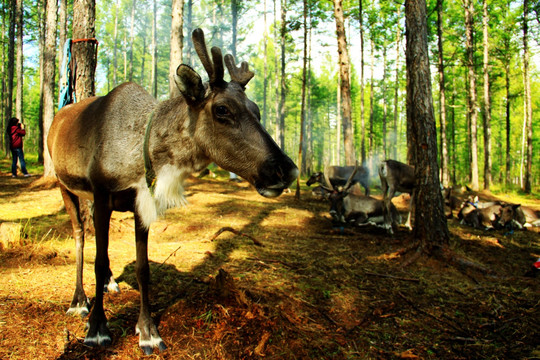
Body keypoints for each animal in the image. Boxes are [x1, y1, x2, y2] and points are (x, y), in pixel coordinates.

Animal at [46, 28, 298, 354]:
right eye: (222, 109)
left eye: (256, 109)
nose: (286, 169)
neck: (142, 153)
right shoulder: (101, 193)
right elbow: (98, 261)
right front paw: (98, 328)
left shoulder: (140, 203)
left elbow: (143, 269)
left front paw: (148, 331)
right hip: (65, 185)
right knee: (79, 234)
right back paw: (79, 301)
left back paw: (110, 282)